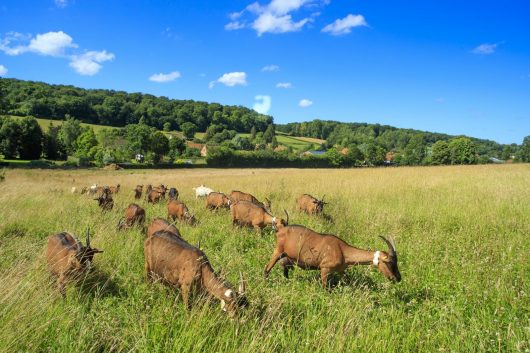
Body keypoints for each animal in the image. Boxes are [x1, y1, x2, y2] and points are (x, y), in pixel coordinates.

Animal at [262, 226, 398, 286]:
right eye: (389, 262)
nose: (398, 278)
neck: (342, 250)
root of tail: (280, 230)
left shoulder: (341, 270)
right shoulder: (324, 269)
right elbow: (325, 288)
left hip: (286, 256)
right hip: (277, 251)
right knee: (267, 268)